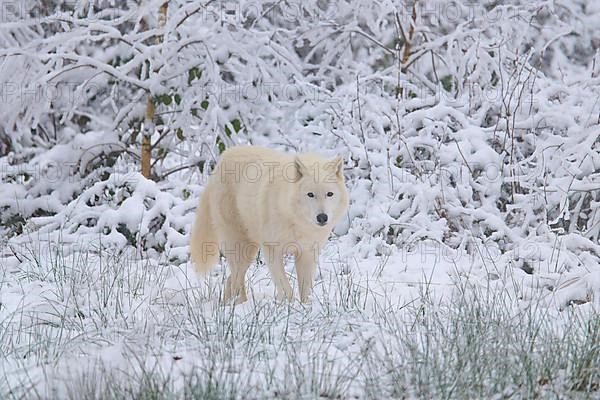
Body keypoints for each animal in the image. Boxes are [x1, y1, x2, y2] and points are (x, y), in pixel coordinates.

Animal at [190, 145, 350, 304]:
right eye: (310, 194)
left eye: (330, 194)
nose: (322, 217)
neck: (295, 220)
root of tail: (223, 157)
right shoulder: (272, 249)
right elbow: (286, 288)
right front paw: (288, 305)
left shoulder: (307, 253)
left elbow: (306, 289)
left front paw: (306, 306)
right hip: (240, 247)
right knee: (236, 277)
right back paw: (240, 304)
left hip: (250, 250)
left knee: (232, 278)